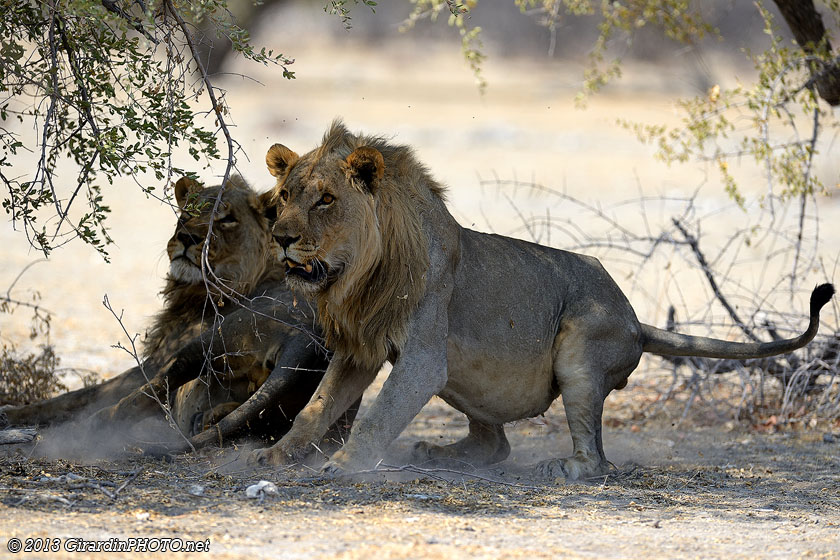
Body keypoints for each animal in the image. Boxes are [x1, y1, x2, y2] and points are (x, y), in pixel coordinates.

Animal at [3, 176, 346, 451]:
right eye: (188, 212)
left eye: (226, 219)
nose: (187, 237)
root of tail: (308, 340)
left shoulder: (155, 360)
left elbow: (76, 396)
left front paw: (10, 412)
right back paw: (209, 418)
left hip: (205, 344)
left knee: (134, 401)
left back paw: (86, 427)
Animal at [248, 119, 834, 480]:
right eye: (285, 197)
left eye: (326, 200)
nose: (280, 236)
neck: (359, 274)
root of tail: (637, 319)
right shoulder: (359, 350)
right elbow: (315, 409)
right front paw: (273, 457)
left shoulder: (422, 355)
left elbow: (378, 414)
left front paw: (345, 464)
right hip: (471, 375)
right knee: (496, 442)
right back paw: (442, 453)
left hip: (580, 352)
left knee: (598, 461)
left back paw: (563, 467)